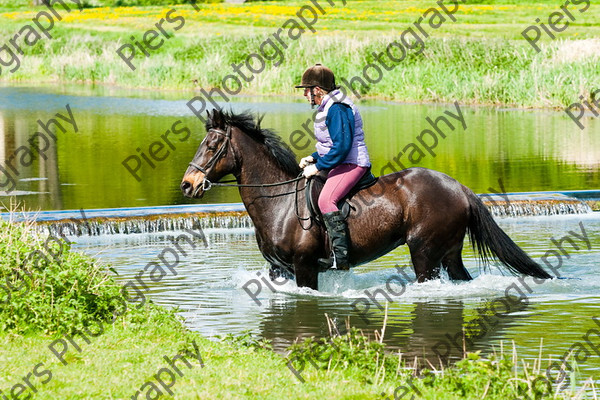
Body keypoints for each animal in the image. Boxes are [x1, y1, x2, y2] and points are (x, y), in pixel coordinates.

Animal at [179, 109, 552, 290]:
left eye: (212, 146)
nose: (187, 184)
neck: (279, 202)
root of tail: (459, 187)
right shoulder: (277, 268)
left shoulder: (303, 267)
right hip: (449, 251)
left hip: (425, 252)